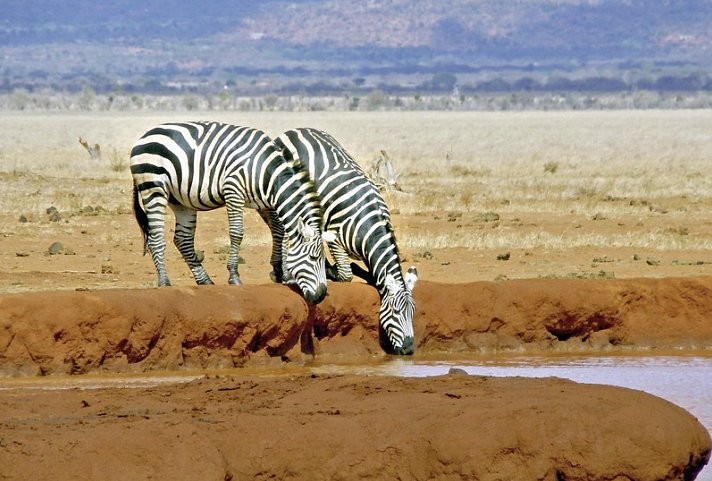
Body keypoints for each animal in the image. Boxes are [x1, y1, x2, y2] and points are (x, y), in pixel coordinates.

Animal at [130, 120, 334, 304]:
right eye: (314, 258)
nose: (321, 296)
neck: (265, 171)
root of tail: (145, 136)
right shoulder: (233, 190)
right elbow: (237, 233)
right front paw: (234, 276)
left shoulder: (267, 202)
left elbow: (279, 232)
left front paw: (282, 272)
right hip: (153, 187)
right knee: (156, 238)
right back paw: (164, 282)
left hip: (180, 200)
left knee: (182, 239)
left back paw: (205, 280)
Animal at [272, 126, 418, 352]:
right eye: (395, 311)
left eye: (413, 312)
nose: (409, 350)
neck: (369, 228)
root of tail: (296, 129)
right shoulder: (335, 238)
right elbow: (345, 274)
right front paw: (330, 269)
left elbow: (371, 274)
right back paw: (283, 272)